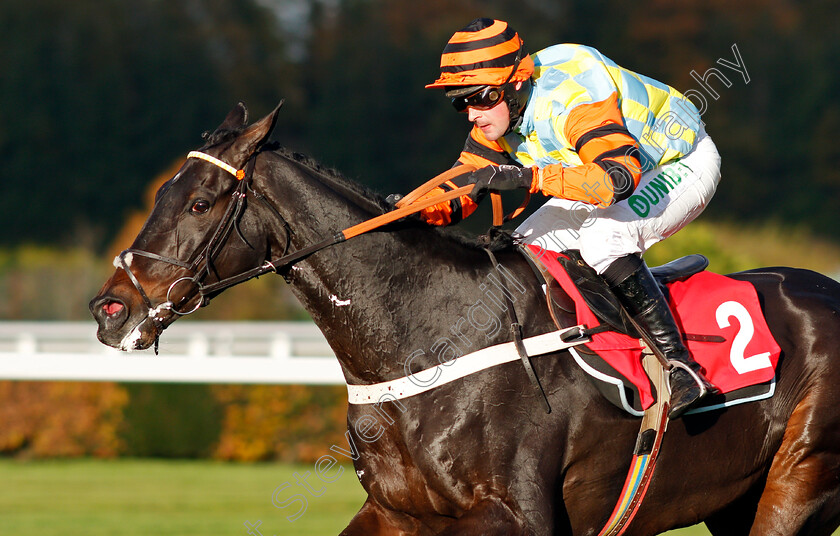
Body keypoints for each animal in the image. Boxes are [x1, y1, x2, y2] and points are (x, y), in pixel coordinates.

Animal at [87, 102, 840, 532]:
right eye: (163, 192)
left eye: (199, 203)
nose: (111, 310)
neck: (427, 341)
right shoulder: (397, 512)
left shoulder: (515, 515)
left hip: (799, 478)